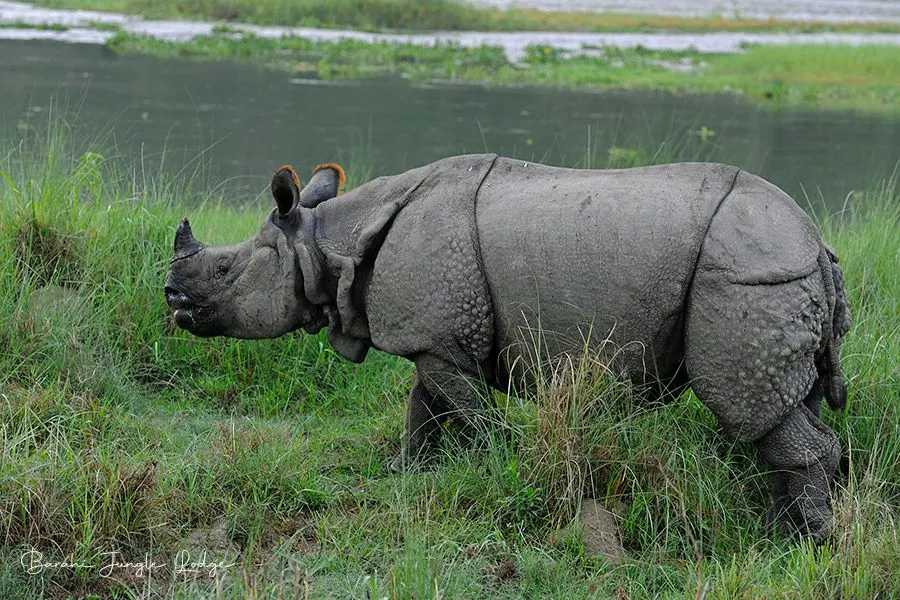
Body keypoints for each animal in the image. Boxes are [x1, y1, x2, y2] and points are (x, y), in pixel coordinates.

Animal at [164, 154, 851, 541]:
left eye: (224, 271)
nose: (170, 296)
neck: (328, 243)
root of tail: (816, 243)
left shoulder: (442, 340)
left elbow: (471, 414)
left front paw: (503, 468)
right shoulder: (436, 337)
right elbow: (423, 406)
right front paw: (404, 472)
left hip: (747, 277)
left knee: (750, 404)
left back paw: (802, 542)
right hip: (775, 276)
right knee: (794, 404)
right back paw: (790, 524)